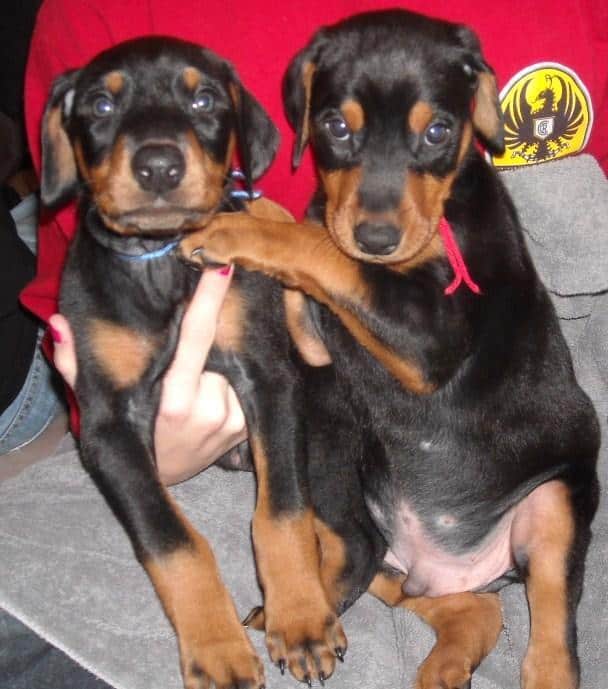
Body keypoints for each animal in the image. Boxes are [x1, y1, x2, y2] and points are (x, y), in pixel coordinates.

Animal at [40, 36, 346, 688]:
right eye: (101, 104)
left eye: (203, 98)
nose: (158, 166)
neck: (162, 261)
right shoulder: (108, 424)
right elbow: (171, 539)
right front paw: (218, 647)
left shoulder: (268, 379)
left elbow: (282, 512)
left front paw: (301, 617)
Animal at [180, 10, 600, 688]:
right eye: (334, 126)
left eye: (437, 131)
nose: (377, 238)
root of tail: (455, 564)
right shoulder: (322, 339)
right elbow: (309, 231)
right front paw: (252, 208)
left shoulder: (431, 336)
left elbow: (320, 247)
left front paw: (228, 226)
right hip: (383, 526)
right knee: (465, 606)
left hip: (552, 505)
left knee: (554, 636)